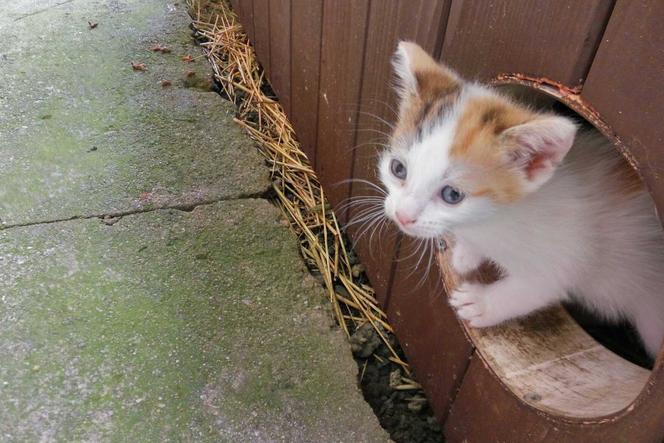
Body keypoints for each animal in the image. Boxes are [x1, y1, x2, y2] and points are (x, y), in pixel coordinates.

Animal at [376, 41, 664, 360]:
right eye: (398, 169)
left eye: (452, 195)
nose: (402, 216)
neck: (495, 221)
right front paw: (466, 255)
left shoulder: (566, 255)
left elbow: (533, 289)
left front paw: (481, 303)